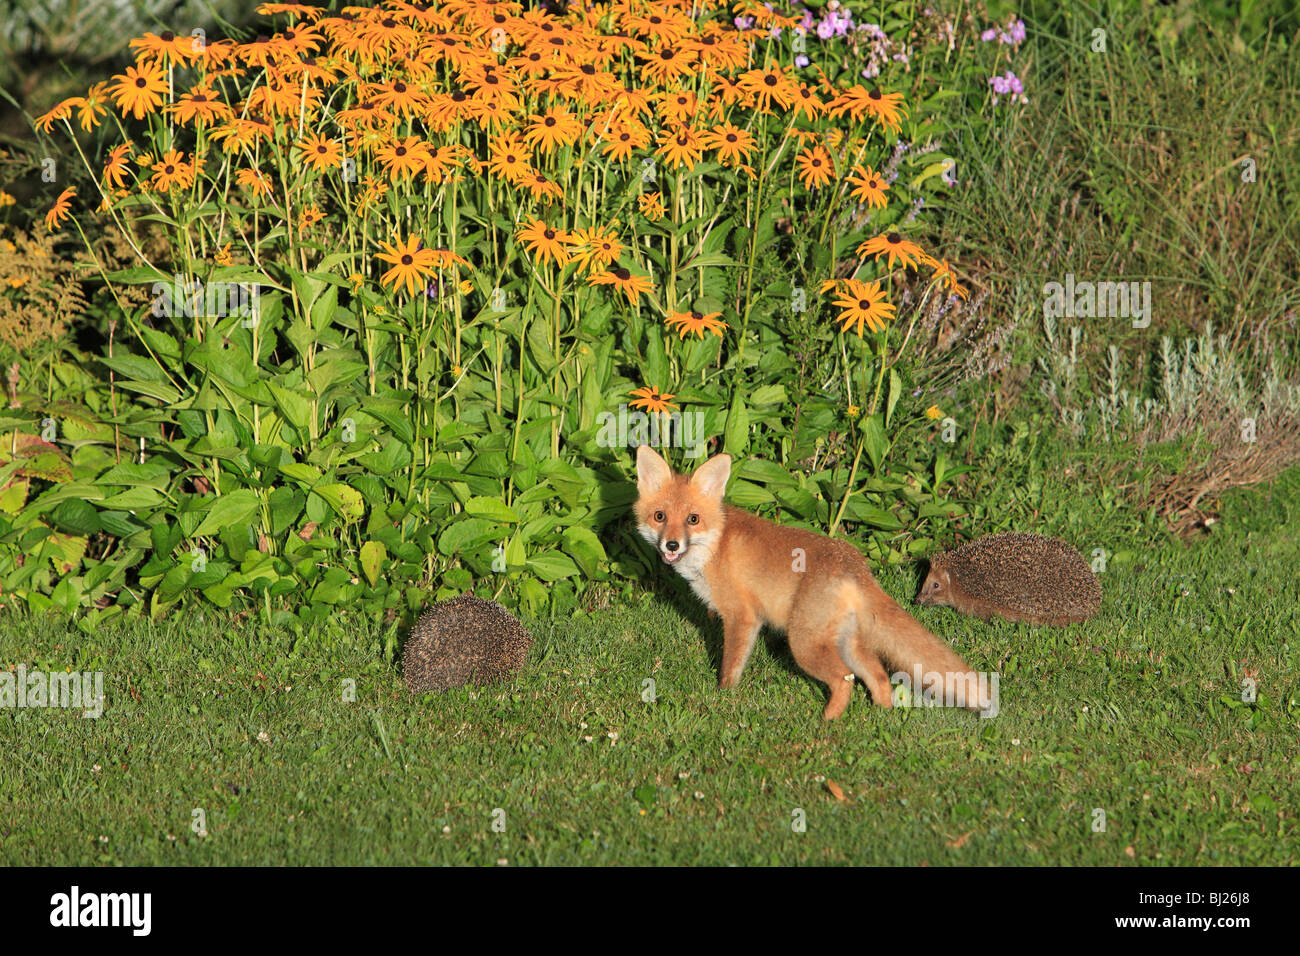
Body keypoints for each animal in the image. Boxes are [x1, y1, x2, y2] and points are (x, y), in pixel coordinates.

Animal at [631, 447, 982, 717]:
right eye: (660, 517)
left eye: (693, 519)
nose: (672, 545)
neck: (715, 545)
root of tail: (855, 563)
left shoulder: (743, 616)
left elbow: (731, 667)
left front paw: (722, 698)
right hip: (846, 642)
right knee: (878, 675)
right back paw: (881, 715)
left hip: (803, 645)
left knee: (844, 679)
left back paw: (827, 724)